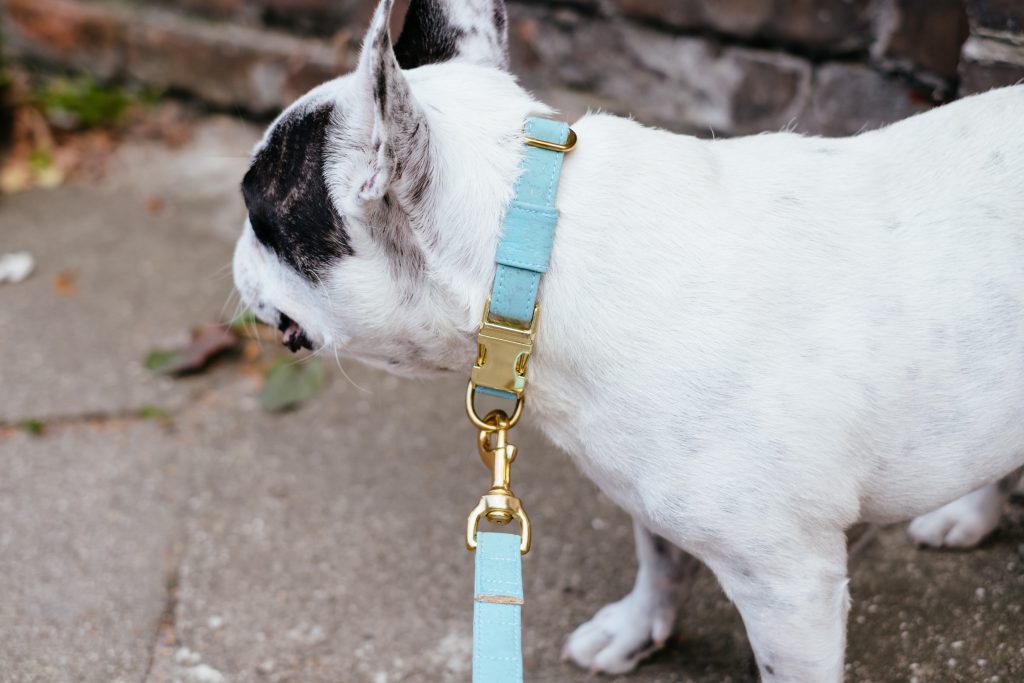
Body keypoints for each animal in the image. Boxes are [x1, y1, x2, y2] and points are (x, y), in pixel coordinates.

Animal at [232, 0, 1024, 679]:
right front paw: (639, 626)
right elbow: (660, 557)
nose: (235, 256)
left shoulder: (791, 585)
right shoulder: (652, 492)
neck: (537, 252)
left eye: (258, 213)